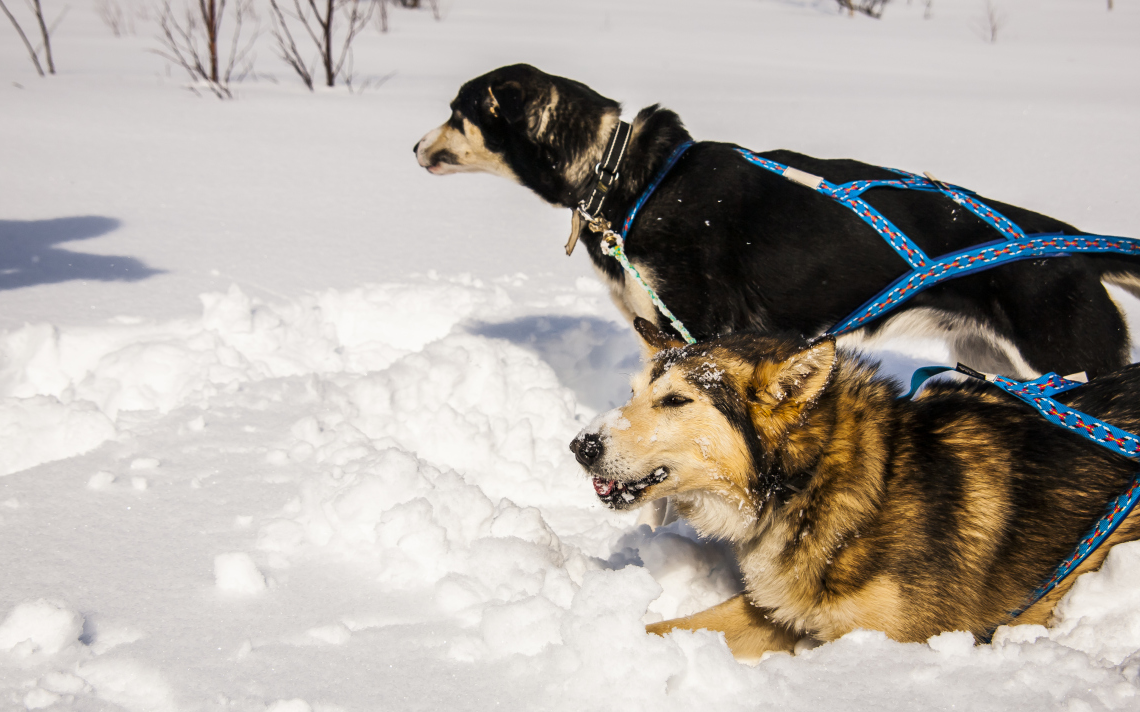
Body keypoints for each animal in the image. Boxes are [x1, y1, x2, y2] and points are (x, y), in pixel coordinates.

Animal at [414, 64, 1140, 378]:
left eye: (457, 112)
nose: (415, 147)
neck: (624, 175)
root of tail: (1076, 248)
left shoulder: (698, 328)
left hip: (1076, 369)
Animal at [574, 318, 1140, 656]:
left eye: (676, 401)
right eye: (631, 394)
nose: (581, 445)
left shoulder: (888, 640)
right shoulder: (777, 610)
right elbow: (674, 628)